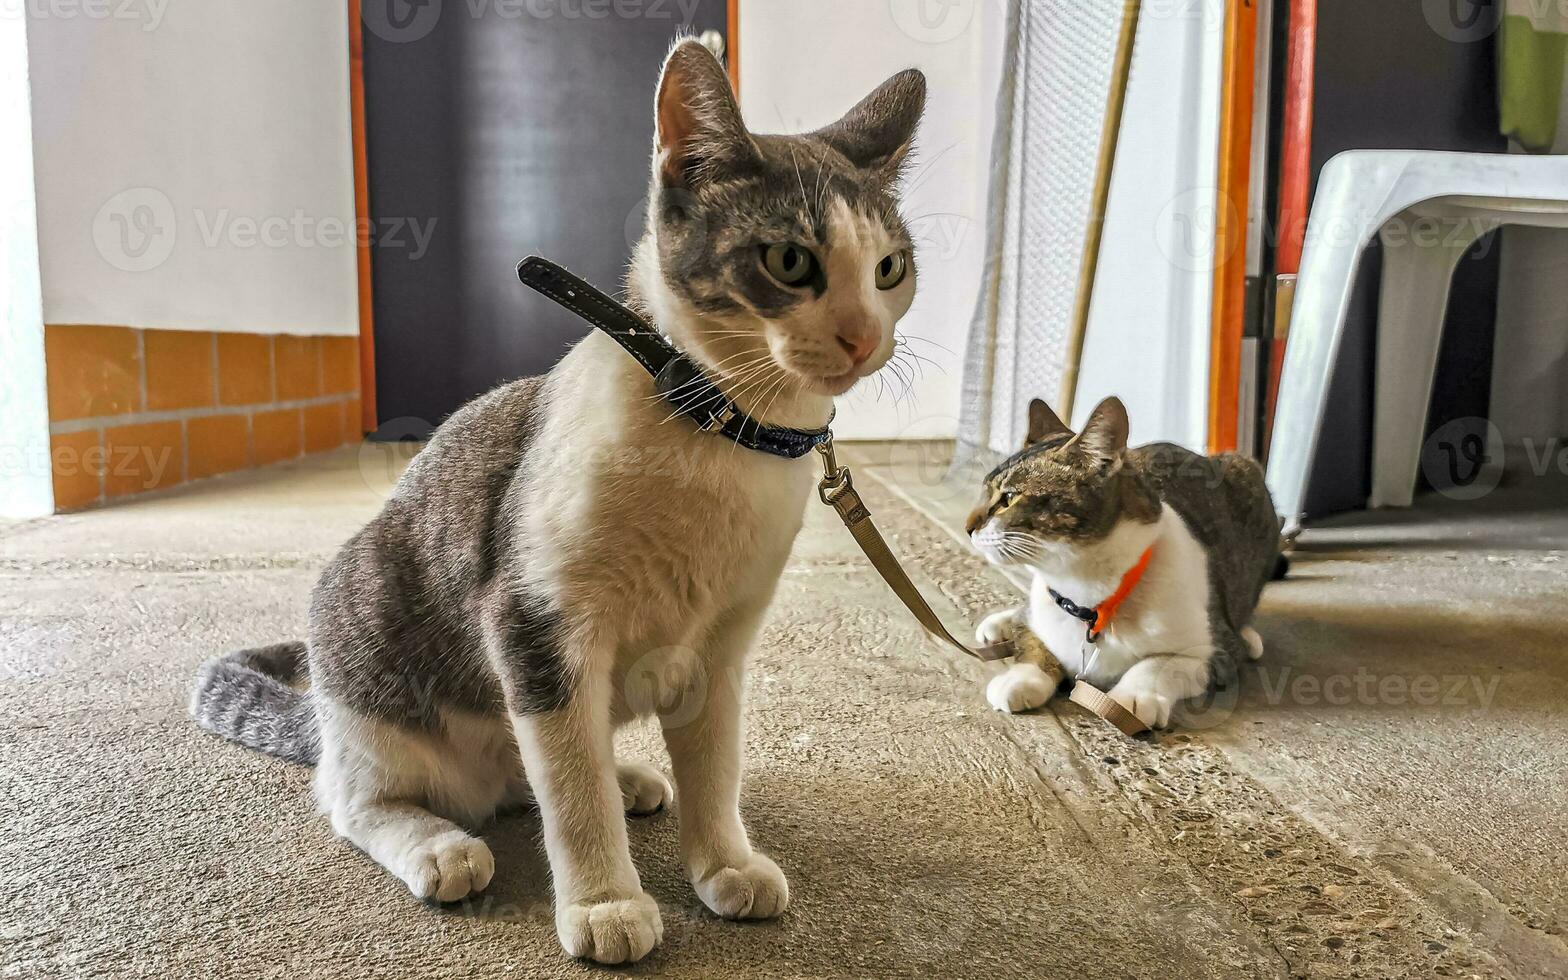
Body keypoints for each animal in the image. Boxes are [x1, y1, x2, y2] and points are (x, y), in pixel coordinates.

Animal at [965, 395, 1285, 727]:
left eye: (1009, 498)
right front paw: (1021, 677)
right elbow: (1035, 643)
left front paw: (1134, 695)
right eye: (985, 492)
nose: (968, 527)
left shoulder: (1214, 652)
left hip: (1249, 477)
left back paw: (1249, 636)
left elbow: (1159, 664)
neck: (1088, 595)